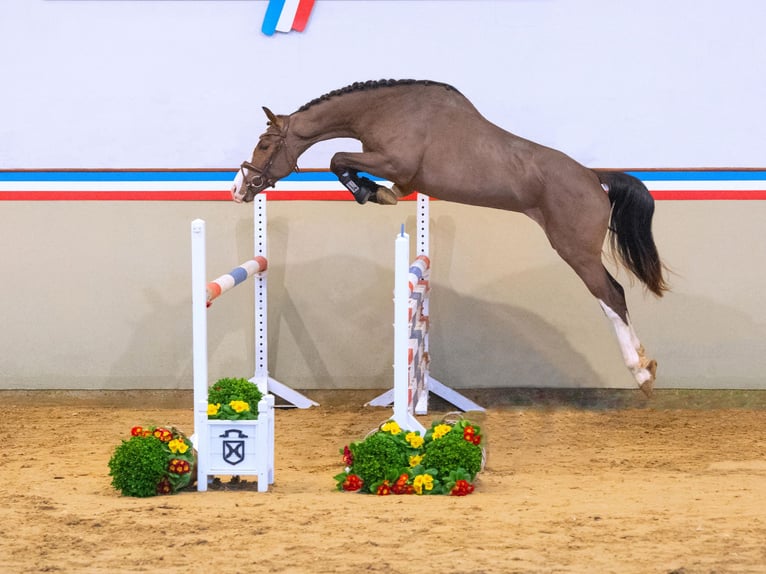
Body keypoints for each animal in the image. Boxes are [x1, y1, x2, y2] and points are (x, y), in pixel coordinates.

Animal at [231, 80, 668, 396]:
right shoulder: (402, 174)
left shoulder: (395, 162)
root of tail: (594, 179)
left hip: (575, 251)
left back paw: (642, 374)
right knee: (612, 296)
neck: (388, 111)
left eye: (266, 144)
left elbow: (339, 159)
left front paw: (370, 192)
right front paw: (380, 192)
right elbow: (356, 168)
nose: (238, 188)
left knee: (611, 296)